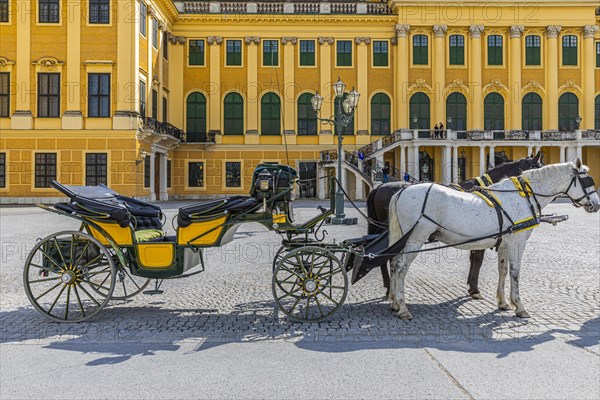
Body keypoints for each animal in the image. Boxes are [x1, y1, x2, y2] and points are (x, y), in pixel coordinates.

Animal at [366, 152, 544, 298]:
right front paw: (475, 288)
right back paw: (390, 287)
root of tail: (379, 187)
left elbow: (473, 260)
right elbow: (477, 260)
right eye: (539, 167)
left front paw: (471, 285)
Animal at [386, 161, 596, 320]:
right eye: (587, 181)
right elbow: (515, 273)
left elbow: (503, 270)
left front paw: (503, 302)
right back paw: (403, 308)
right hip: (416, 238)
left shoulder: (504, 243)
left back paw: (395, 303)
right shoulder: (517, 243)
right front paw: (519, 306)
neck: (522, 196)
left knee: (394, 263)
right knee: (401, 267)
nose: (596, 204)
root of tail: (402, 191)